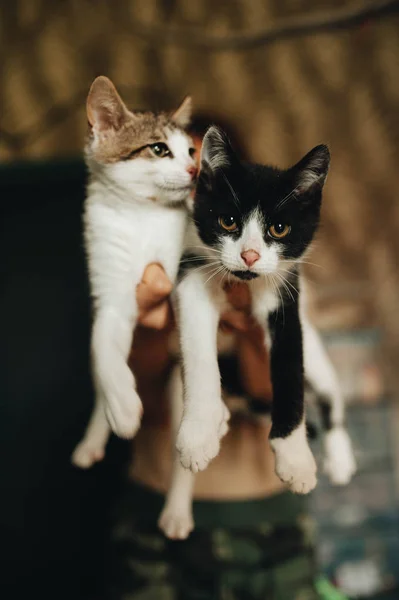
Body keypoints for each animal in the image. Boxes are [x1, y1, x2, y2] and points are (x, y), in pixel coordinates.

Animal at [72, 76, 198, 468]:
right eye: (159, 149)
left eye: (191, 151)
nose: (196, 170)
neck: (142, 214)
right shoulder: (111, 291)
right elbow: (104, 344)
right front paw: (123, 407)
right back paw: (94, 436)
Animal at [172, 127, 356, 502]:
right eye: (228, 221)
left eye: (279, 229)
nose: (250, 255)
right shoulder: (193, 274)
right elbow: (198, 356)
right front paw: (198, 433)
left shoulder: (286, 297)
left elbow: (289, 371)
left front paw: (296, 459)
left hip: (314, 348)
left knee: (329, 390)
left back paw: (340, 455)